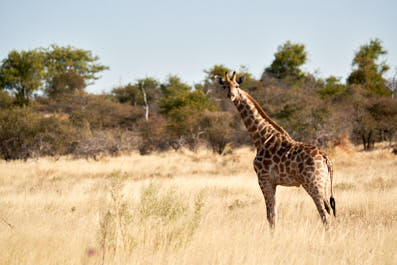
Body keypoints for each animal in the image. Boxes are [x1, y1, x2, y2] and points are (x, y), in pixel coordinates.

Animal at [217, 71, 334, 227]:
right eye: (224, 86)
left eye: (237, 85)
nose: (231, 96)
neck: (261, 138)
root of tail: (326, 159)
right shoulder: (273, 182)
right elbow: (274, 213)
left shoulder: (264, 179)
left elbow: (270, 215)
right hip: (324, 184)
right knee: (329, 211)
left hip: (314, 184)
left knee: (324, 213)